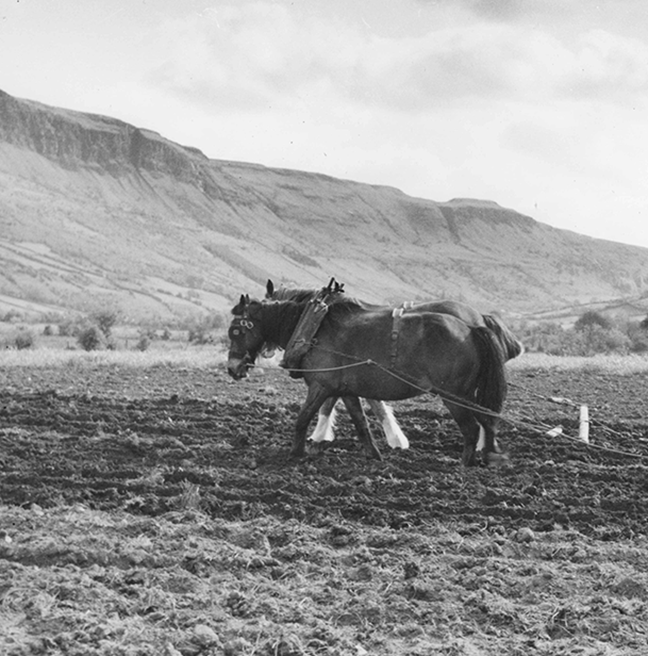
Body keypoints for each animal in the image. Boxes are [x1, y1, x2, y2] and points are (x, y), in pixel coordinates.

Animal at [228, 292, 506, 466]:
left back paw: (466, 463)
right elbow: (361, 424)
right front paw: (374, 454)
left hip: (454, 395)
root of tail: (472, 328)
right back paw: (489, 455)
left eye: (236, 330)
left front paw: (296, 452)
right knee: (487, 420)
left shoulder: (321, 386)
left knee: (471, 428)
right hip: (469, 394)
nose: (233, 368)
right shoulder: (347, 390)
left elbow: (303, 418)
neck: (314, 328)